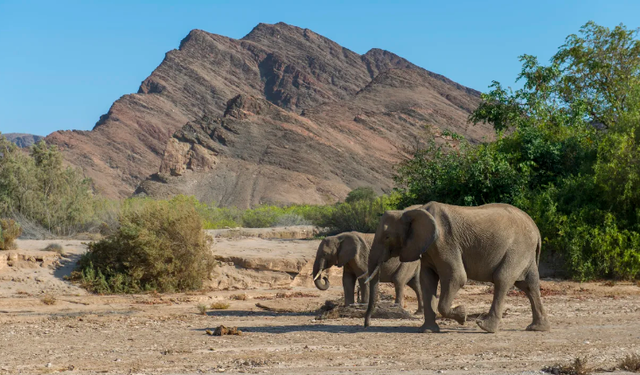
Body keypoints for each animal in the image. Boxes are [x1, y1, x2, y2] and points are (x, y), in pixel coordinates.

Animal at [364, 203, 552, 334]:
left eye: (387, 237)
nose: (366, 325)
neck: (414, 210)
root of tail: (536, 228)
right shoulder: (428, 248)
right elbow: (427, 281)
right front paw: (427, 331)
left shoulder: (444, 243)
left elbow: (456, 277)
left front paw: (462, 315)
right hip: (524, 252)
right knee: (529, 285)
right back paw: (537, 328)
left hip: (517, 248)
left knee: (502, 279)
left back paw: (485, 326)